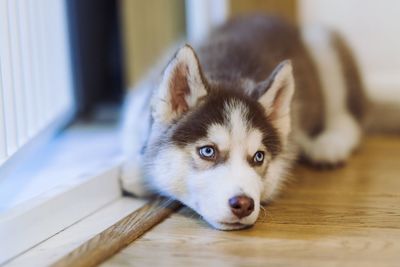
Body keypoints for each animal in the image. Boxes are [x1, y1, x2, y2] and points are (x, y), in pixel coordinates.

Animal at [120, 15, 370, 231]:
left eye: (258, 157)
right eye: (208, 151)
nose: (243, 205)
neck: (227, 73)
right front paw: (141, 171)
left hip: (322, 43)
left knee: (346, 116)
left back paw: (329, 144)